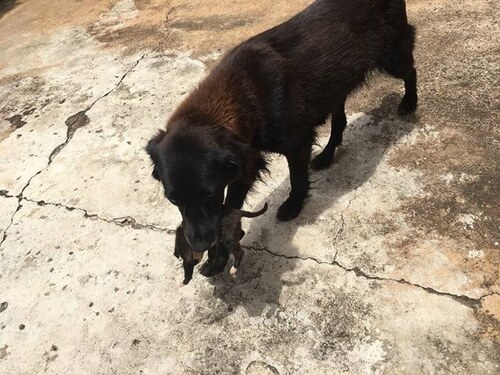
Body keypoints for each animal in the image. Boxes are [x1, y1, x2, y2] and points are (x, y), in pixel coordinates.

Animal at [146, 0, 418, 272]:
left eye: (210, 193)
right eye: (173, 200)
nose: (199, 245)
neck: (245, 96)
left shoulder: (295, 144)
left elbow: (296, 180)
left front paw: (293, 206)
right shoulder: (244, 162)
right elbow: (227, 212)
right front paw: (219, 258)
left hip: (391, 55)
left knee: (411, 71)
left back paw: (409, 103)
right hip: (335, 84)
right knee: (339, 120)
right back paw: (326, 156)